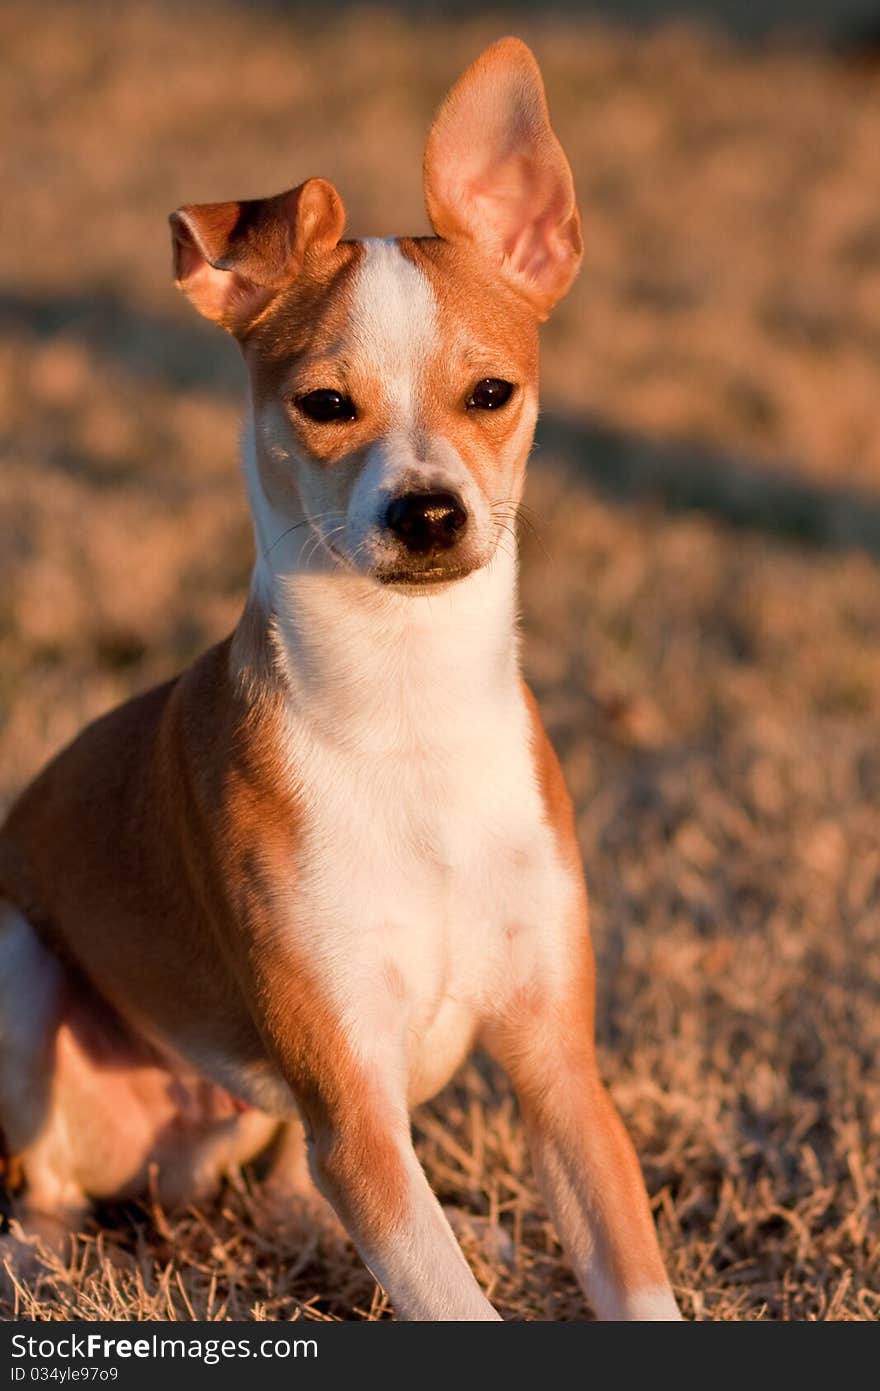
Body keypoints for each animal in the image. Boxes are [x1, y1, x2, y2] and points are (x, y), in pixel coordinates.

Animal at [0, 38, 678, 1318]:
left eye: (491, 393)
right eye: (324, 403)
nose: (429, 510)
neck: (405, 709)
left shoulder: (559, 1072)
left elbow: (631, 1276)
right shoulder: (351, 1103)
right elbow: (445, 1295)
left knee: (286, 1190)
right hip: (17, 978)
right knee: (44, 1186)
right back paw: (38, 1262)